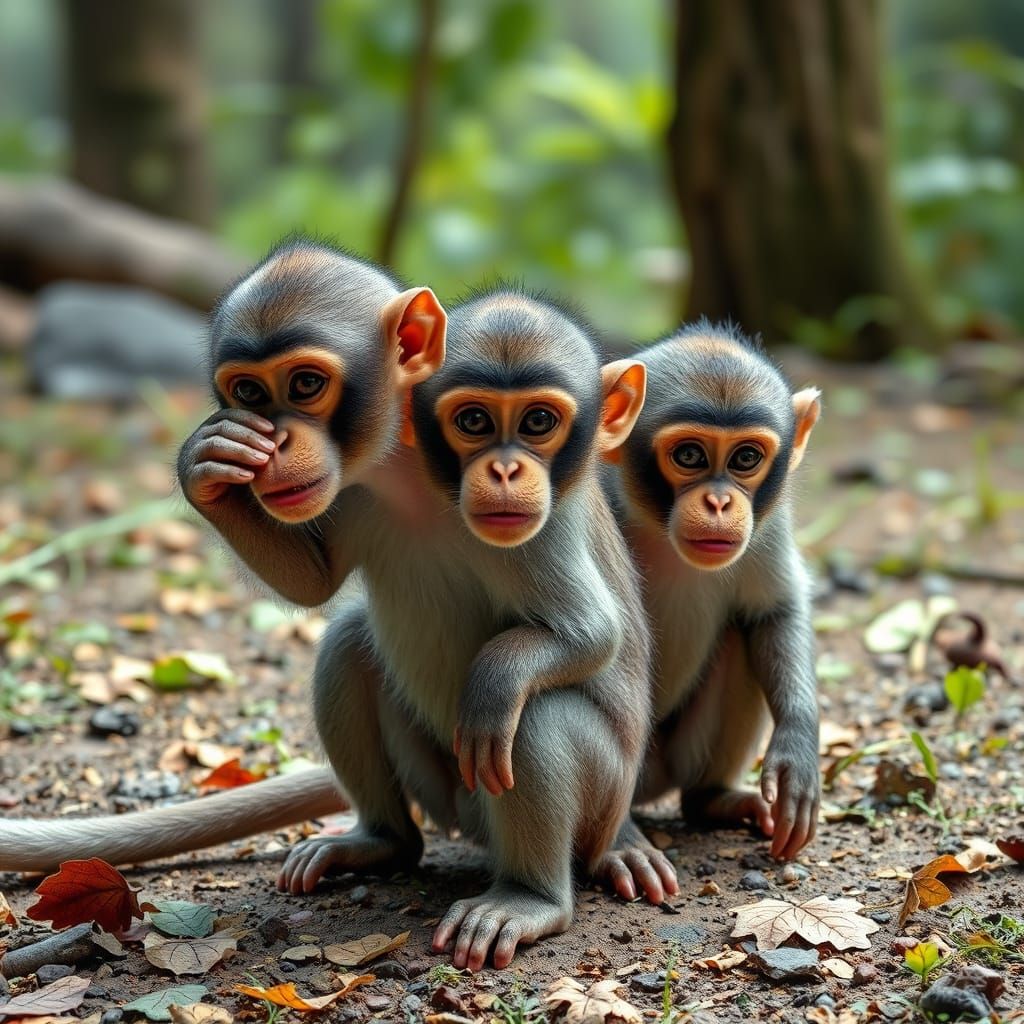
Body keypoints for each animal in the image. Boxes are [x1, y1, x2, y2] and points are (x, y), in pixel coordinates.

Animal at [0, 245, 655, 970]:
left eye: (307, 384)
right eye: (250, 394)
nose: (279, 441)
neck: (409, 472)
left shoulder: (542, 517)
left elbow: (591, 635)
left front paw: (497, 678)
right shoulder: (351, 487)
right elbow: (311, 586)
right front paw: (206, 464)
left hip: (595, 791)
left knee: (531, 717)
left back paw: (530, 895)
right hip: (439, 786)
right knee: (347, 648)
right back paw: (379, 841)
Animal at [596, 321, 821, 898]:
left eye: (745, 459)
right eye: (691, 456)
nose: (720, 502)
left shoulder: (767, 522)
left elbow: (774, 612)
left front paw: (798, 750)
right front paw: (618, 846)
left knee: (741, 635)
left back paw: (713, 799)